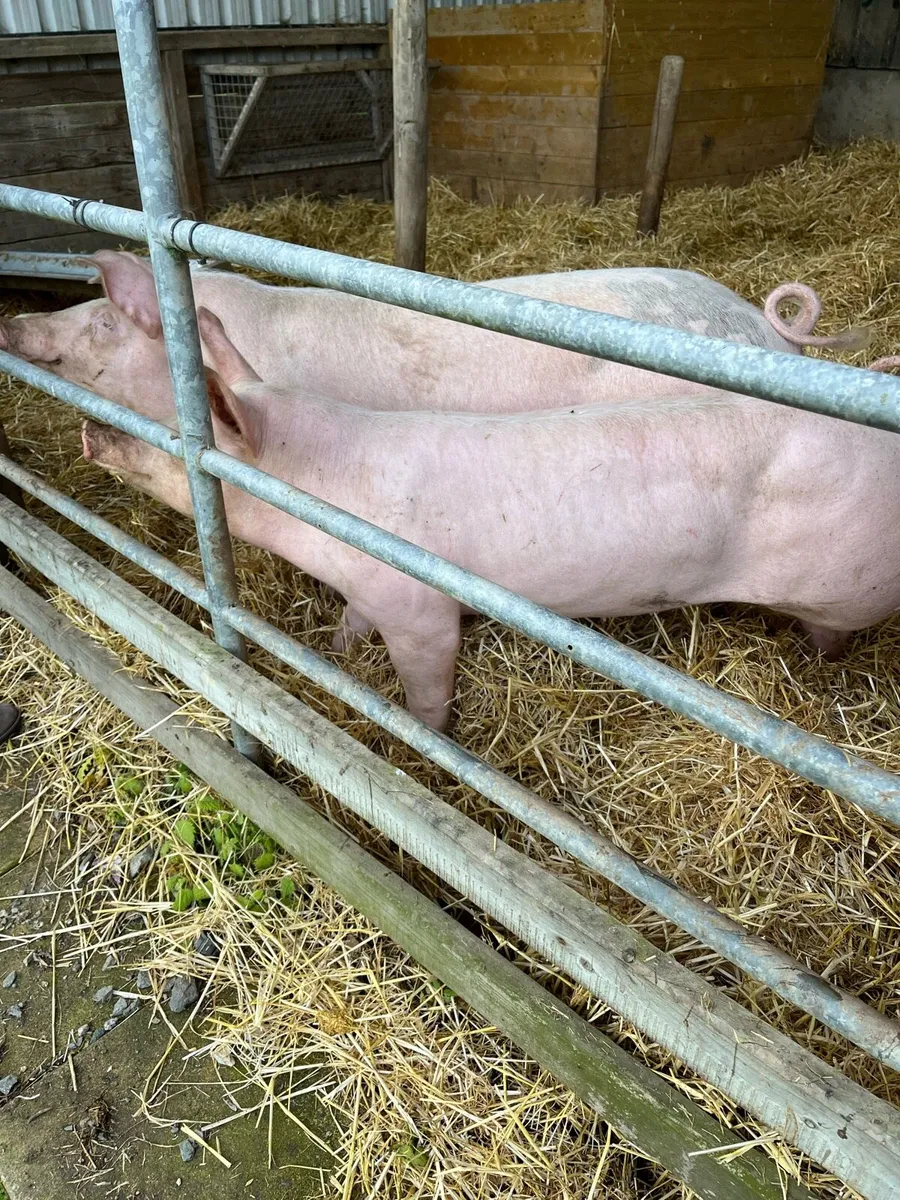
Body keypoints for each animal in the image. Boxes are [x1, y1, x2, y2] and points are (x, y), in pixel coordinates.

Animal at [80, 308, 900, 731]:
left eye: (168, 422)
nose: (90, 430)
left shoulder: (419, 606)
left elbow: (427, 679)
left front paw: (426, 736)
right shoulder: (367, 588)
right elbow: (350, 622)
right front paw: (335, 648)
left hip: (849, 590)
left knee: (832, 634)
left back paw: (810, 666)